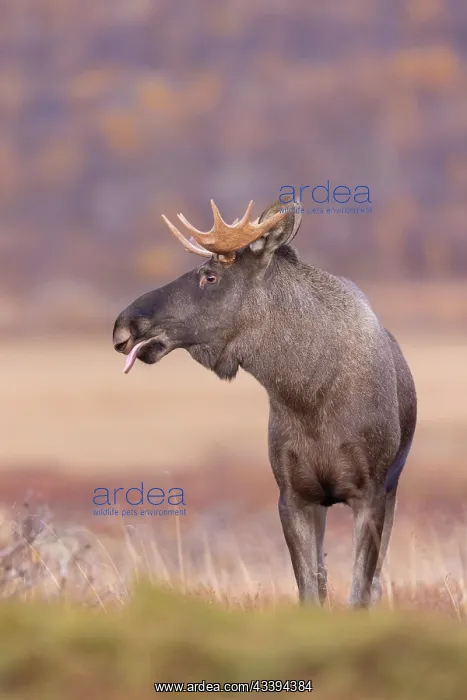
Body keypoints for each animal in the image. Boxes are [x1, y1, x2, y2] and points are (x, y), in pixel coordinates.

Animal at [113, 199, 417, 608]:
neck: (307, 395)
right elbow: (309, 593)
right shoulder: (292, 494)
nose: (123, 325)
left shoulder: (370, 492)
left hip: (391, 489)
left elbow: (359, 595)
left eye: (210, 276)